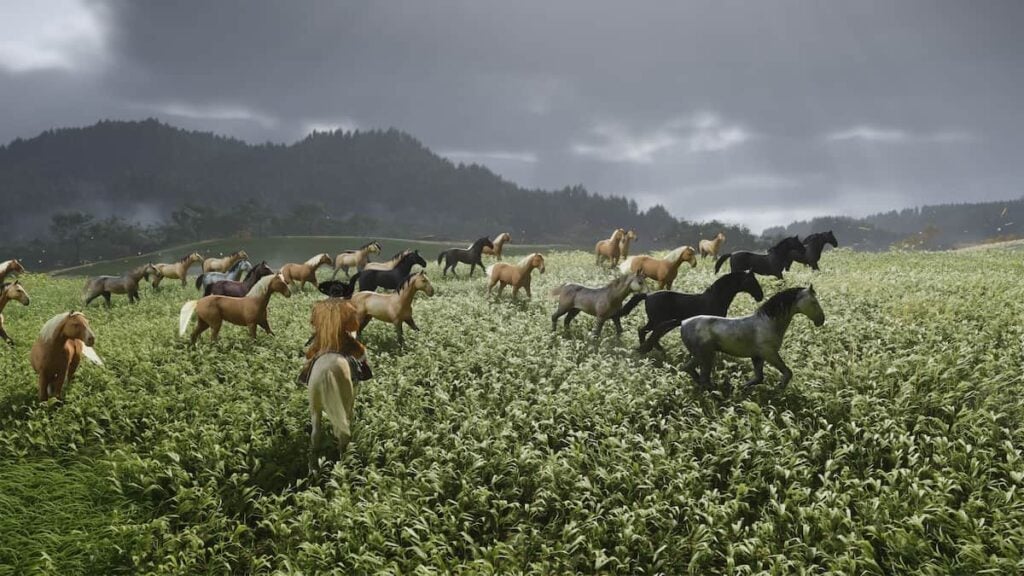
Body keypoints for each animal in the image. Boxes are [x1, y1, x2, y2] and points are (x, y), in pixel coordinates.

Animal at [612, 271, 765, 353]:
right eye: (752, 282)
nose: (760, 296)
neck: (716, 298)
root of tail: (648, 295)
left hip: (653, 321)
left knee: (643, 331)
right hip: (657, 321)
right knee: (649, 333)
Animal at [680, 286, 825, 394]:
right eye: (814, 302)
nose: (821, 320)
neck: (768, 322)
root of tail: (683, 323)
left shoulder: (757, 356)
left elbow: (759, 378)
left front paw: (740, 387)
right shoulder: (769, 354)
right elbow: (788, 372)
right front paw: (778, 389)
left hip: (701, 356)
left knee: (688, 369)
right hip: (706, 356)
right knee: (701, 376)